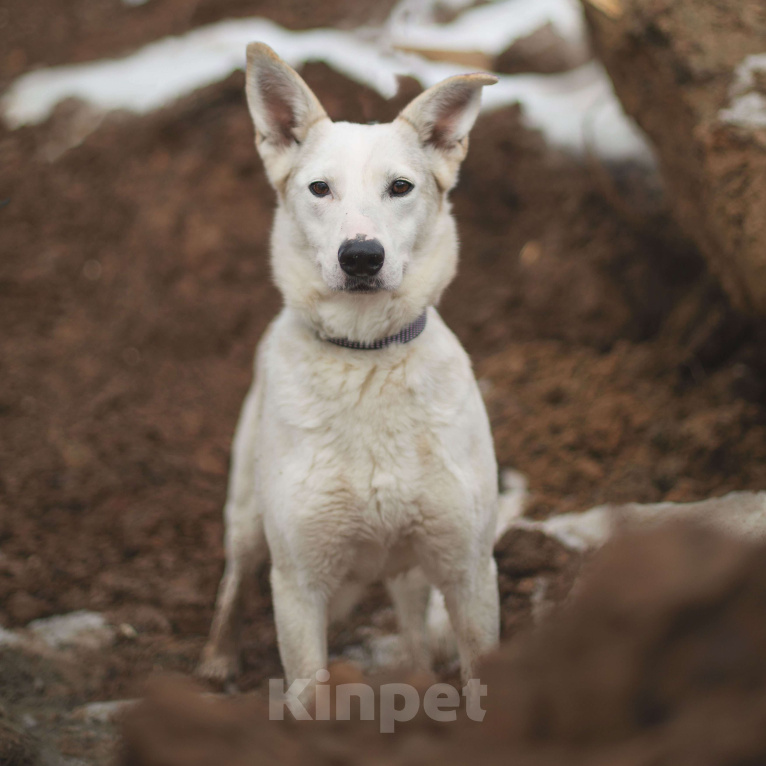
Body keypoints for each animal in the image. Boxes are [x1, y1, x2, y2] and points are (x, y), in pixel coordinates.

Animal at [201, 40, 504, 688]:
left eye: (401, 187)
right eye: (319, 189)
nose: (361, 257)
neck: (366, 357)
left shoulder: (468, 569)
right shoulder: (298, 584)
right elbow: (307, 687)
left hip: (410, 568)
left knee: (411, 624)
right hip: (246, 516)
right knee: (234, 579)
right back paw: (217, 657)